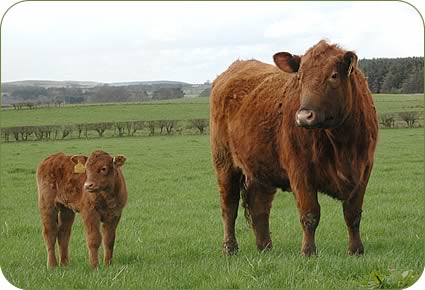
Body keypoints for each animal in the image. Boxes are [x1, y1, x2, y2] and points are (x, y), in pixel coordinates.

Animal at [210, 40, 380, 256]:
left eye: (333, 75)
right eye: (300, 77)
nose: (303, 116)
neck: (342, 143)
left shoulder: (363, 171)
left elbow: (353, 214)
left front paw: (356, 250)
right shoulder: (300, 171)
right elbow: (310, 214)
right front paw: (308, 251)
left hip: (261, 167)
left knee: (259, 207)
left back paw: (265, 248)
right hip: (224, 163)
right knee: (229, 207)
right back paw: (230, 248)